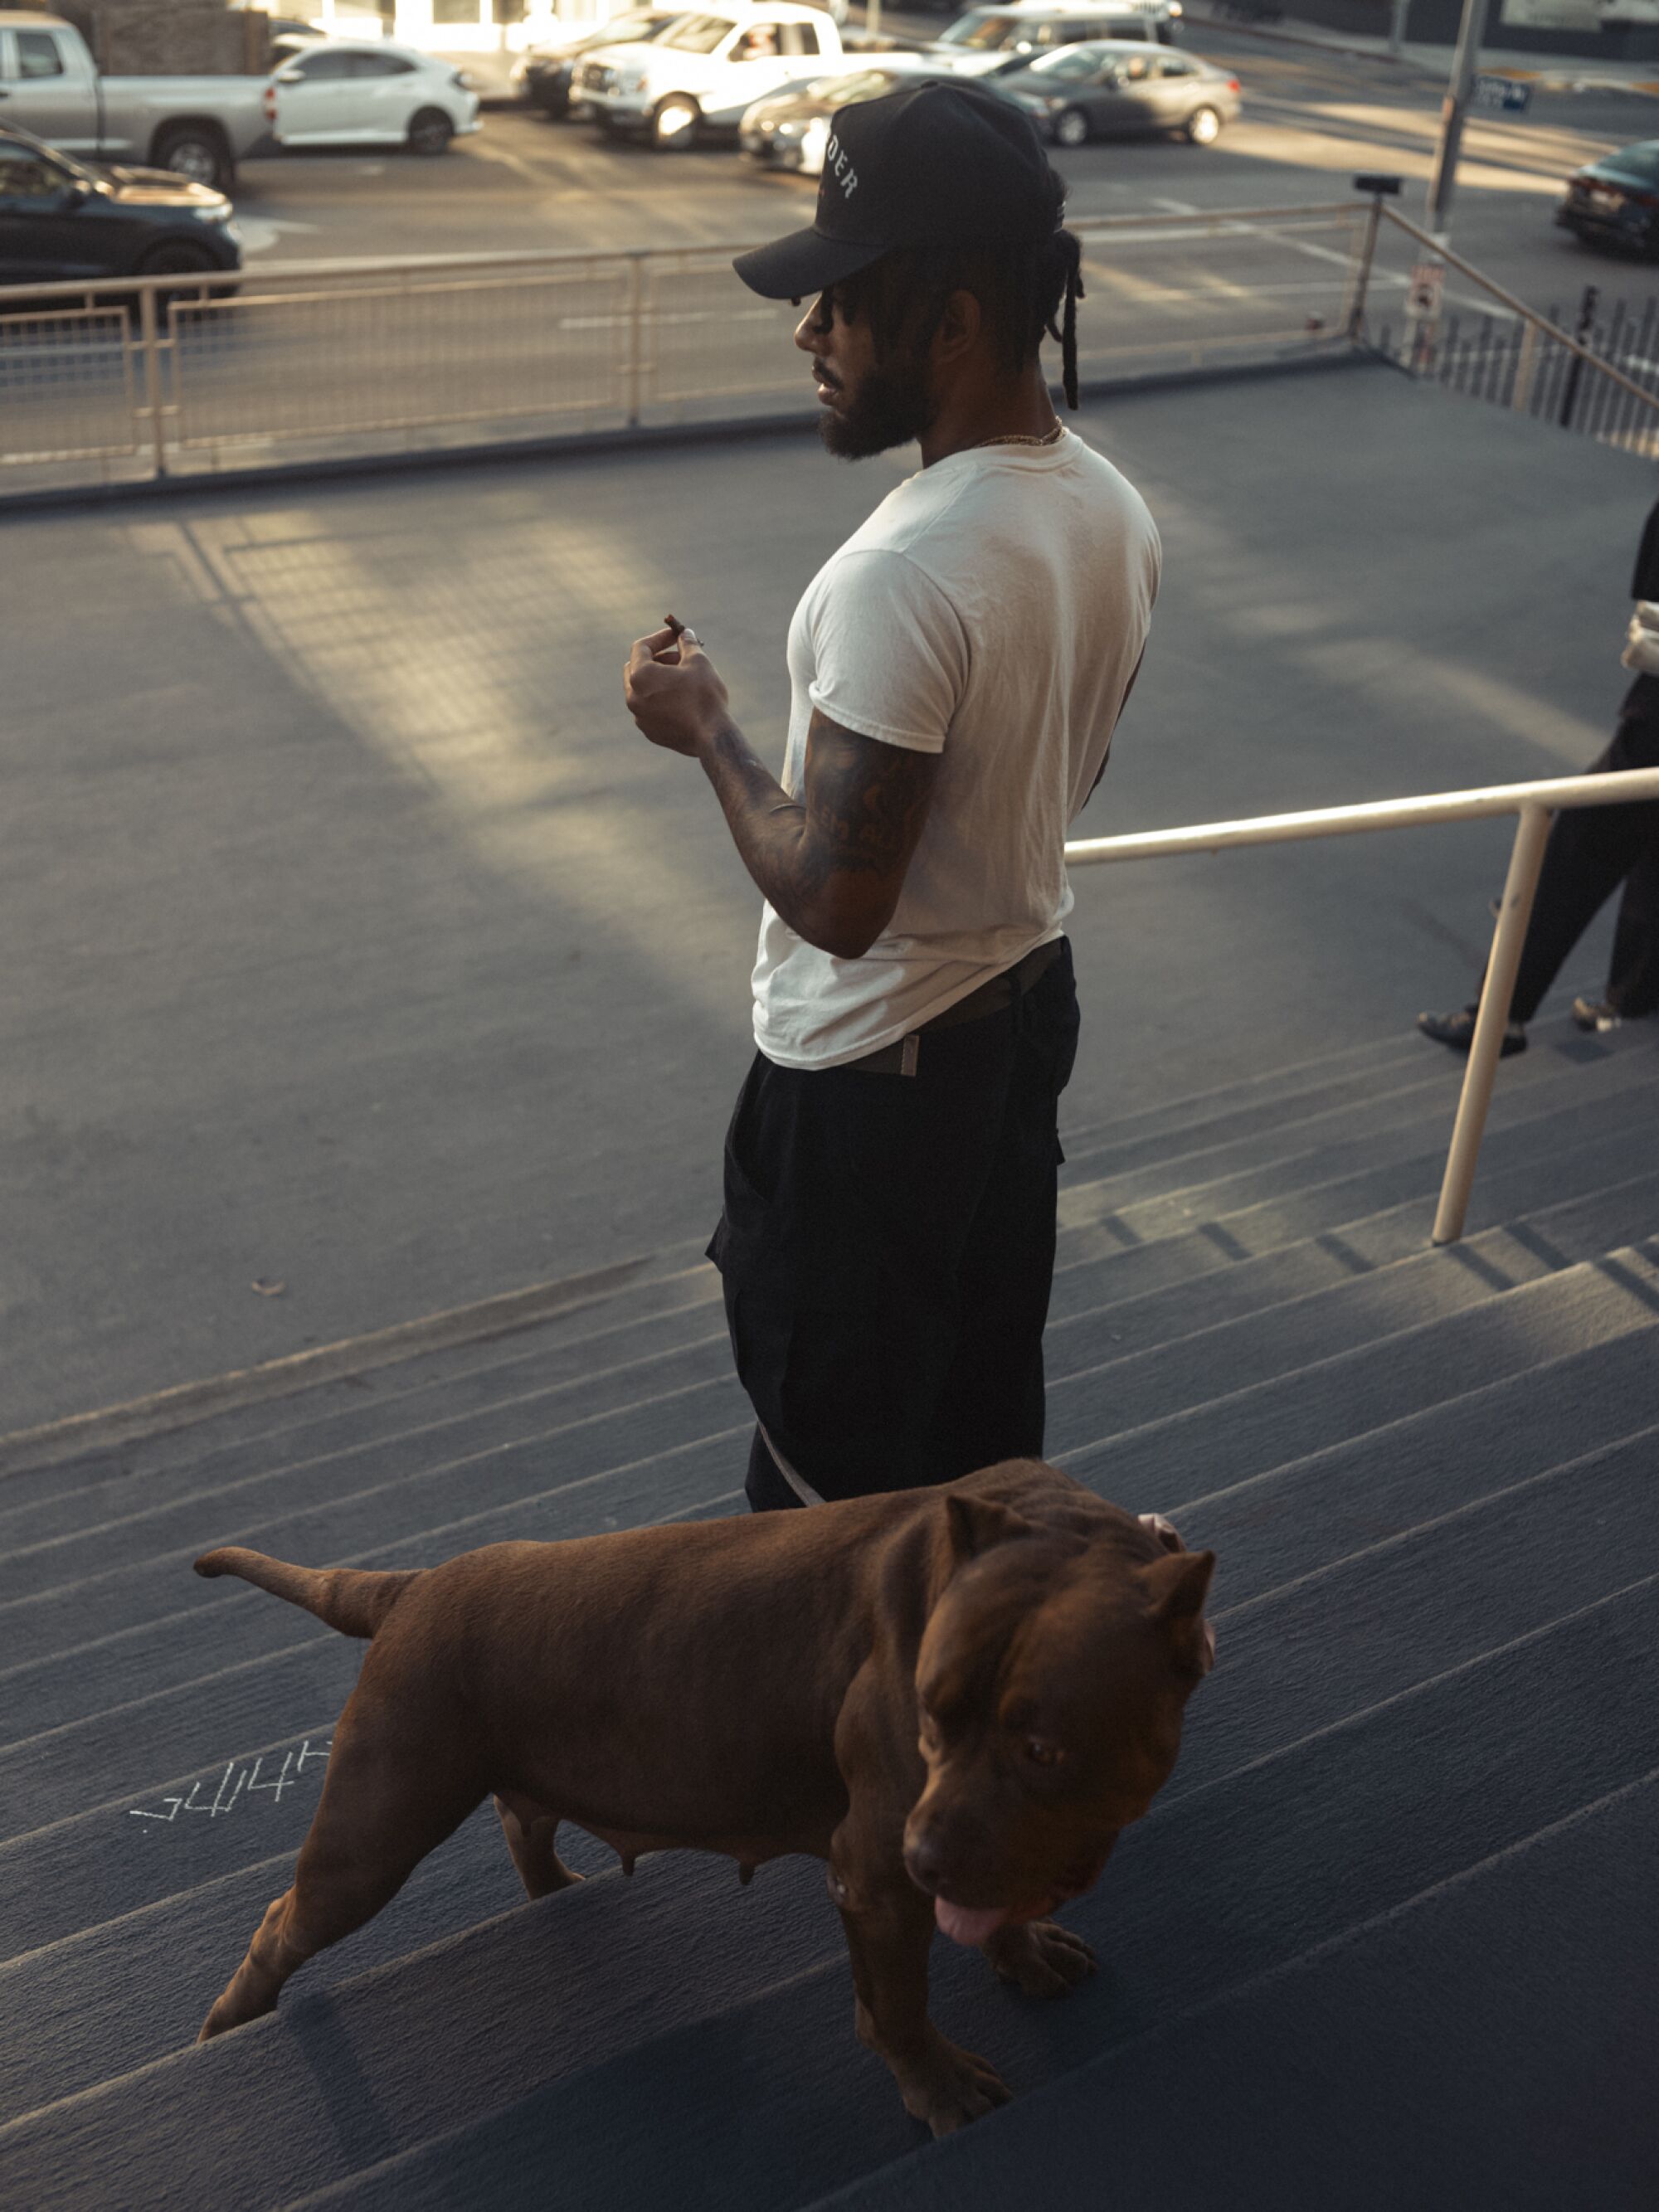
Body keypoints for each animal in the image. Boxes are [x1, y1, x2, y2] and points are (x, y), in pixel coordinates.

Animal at [194, 1451, 1212, 2123]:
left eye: (1042, 1749)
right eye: (927, 1714)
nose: (924, 1855)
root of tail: (408, 1588)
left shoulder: (972, 1849)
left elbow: (992, 1902)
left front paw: (1023, 1954)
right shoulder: (873, 1874)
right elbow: (897, 2008)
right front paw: (941, 2089)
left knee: (522, 1818)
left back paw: (552, 1889)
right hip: (372, 1831)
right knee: (282, 1924)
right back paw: (230, 2026)